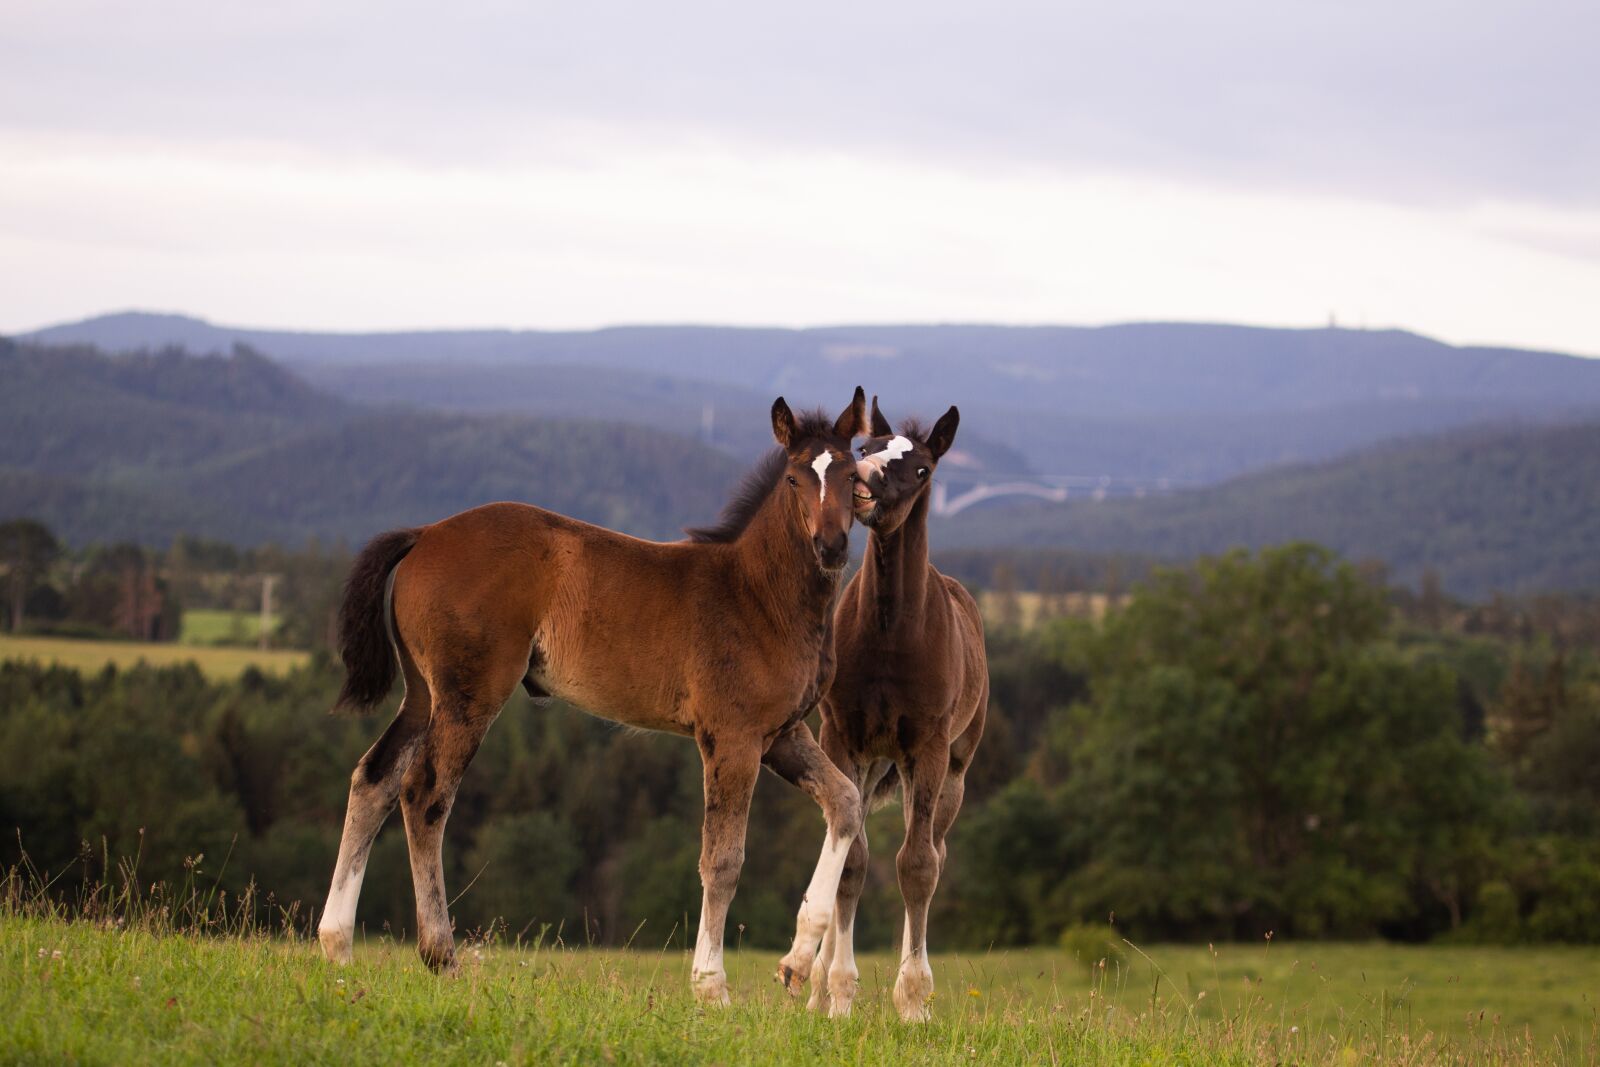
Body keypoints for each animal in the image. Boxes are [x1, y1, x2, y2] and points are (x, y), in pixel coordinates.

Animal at [318, 388, 870, 1004]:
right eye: (795, 478)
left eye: (851, 475)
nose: (831, 546)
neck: (760, 596)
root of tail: (427, 532)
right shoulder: (733, 737)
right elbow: (723, 859)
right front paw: (711, 986)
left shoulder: (781, 734)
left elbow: (845, 803)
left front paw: (796, 960)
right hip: (470, 693)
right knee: (424, 793)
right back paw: (441, 954)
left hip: (423, 693)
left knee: (375, 778)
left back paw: (337, 944)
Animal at [787, 396, 985, 1023]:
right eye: (865, 450)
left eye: (921, 468)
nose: (864, 486)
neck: (893, 634)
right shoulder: (842, 737)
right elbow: (852, 862)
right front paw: (836, 994)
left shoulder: (929, 748)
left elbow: (916, 866)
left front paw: (914, 1002)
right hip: (876, 761)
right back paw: (818, 987)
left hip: (952, 774)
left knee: (933, 854)